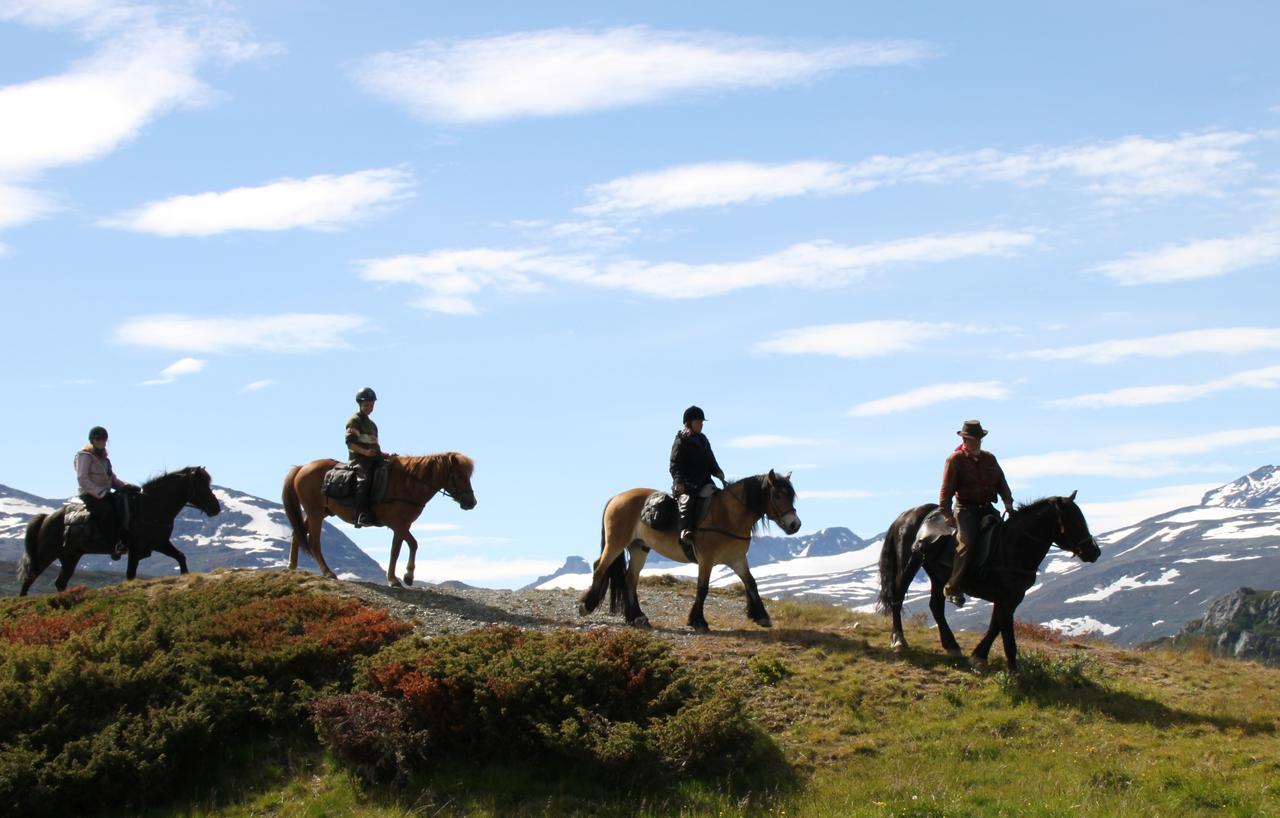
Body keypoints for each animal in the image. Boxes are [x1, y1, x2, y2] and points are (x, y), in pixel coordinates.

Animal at [16, 465, 221, 593]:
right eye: (201, 485)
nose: (216, 508)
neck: (151, 506)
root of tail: (47, 518)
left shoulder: (160, 543)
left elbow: (181, 557)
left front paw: (185, 577)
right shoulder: (136, 550)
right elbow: (130, 575)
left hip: (70, 557)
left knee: (60, 582)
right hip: (46, 555)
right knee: (28, 579)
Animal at [282, 450, 478, 586]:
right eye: (459, 475)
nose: (471, 502)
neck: (409, 484)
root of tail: (302, 468)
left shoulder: (403, 525)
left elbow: (411, 545)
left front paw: (408, 576)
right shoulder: (398, 525)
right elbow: (397, 550)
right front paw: (394, 579)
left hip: (319, 512)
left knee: (297, 534)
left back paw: (292, 566)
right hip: (315, 512)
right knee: (314, 542)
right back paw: (328, 572)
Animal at [581, 471, 798, 637]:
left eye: (791, 496)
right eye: (777, 495)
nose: (795, 524)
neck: (728, 515)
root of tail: (616, 498)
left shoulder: (736, 559)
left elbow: (751, 582)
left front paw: (761, 616)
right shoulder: (706, 559)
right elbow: (702, 588)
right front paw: (698, 621)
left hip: (638, 548)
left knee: (630, 579)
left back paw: (637, 617)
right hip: (617, 542)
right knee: (600, 567)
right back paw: (586, 606)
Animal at [875, 491, 1105, 670]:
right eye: (1073, 522)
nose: (1094, 552)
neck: (1012, 546)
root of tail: (906, 516)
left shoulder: (1011, 597)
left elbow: (996, 625)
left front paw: (979, 656)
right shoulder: (1005, 597)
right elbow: (1006, 631)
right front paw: (1012, 669)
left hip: (938, 577)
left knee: (935, 606)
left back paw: (951, 645)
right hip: (909, 565)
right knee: (898, 597)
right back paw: (899, 640)